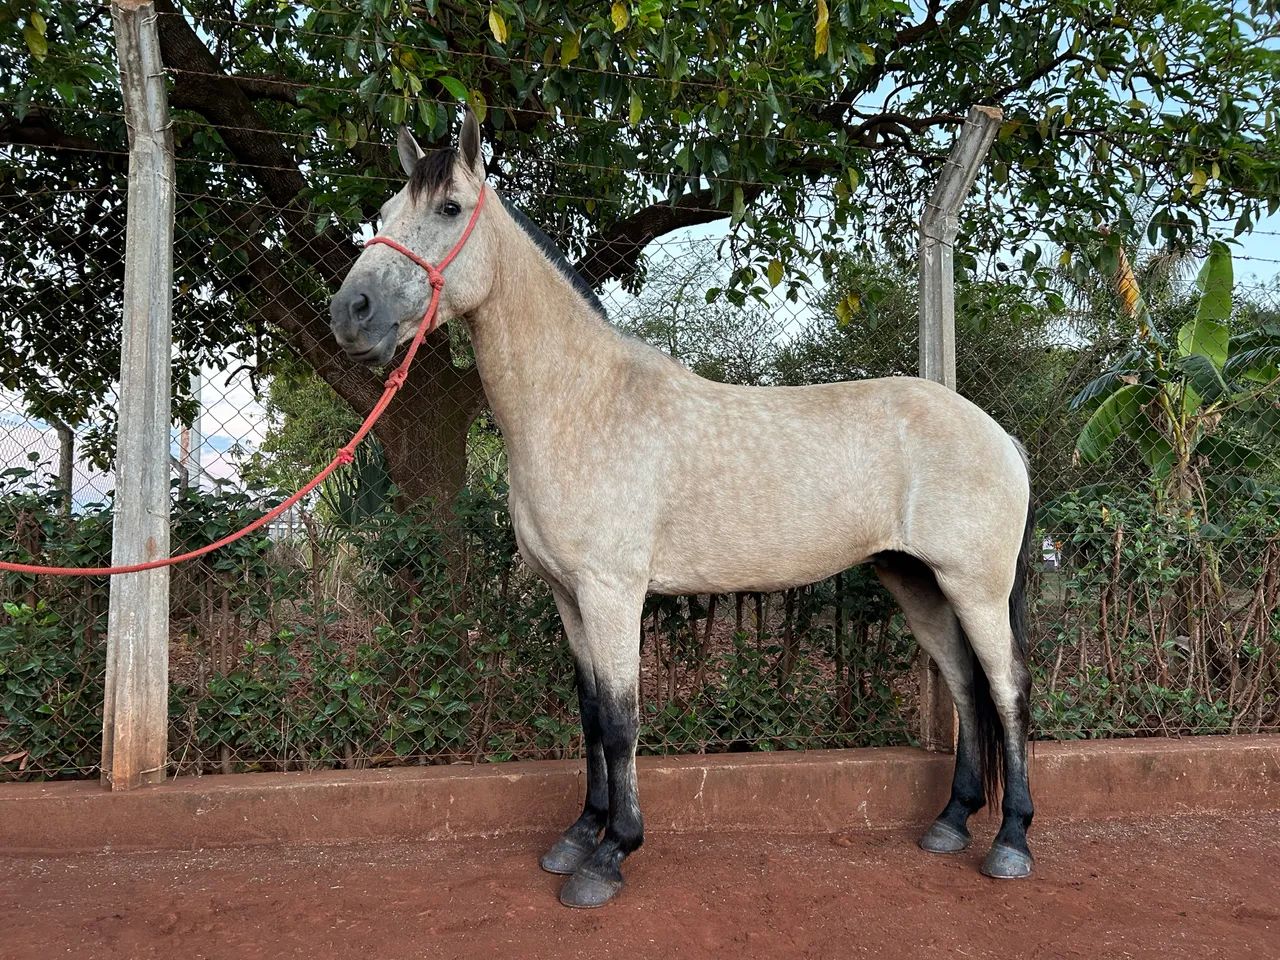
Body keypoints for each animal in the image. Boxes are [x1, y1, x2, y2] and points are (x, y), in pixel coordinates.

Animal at [329, 111, 1037, 909]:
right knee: (965, 684)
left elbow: (621, 721)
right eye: (384, 212)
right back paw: (950, 822)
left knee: (1007, 687)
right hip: (916, 581)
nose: (350, 314)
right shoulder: (569, 597)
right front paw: (579, 836)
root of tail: (997, 434)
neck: (581, 404)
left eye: (449, 209)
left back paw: (1011, 843)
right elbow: (590, 717)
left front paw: (610, 856)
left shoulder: (612, 593)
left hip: (975, 585)